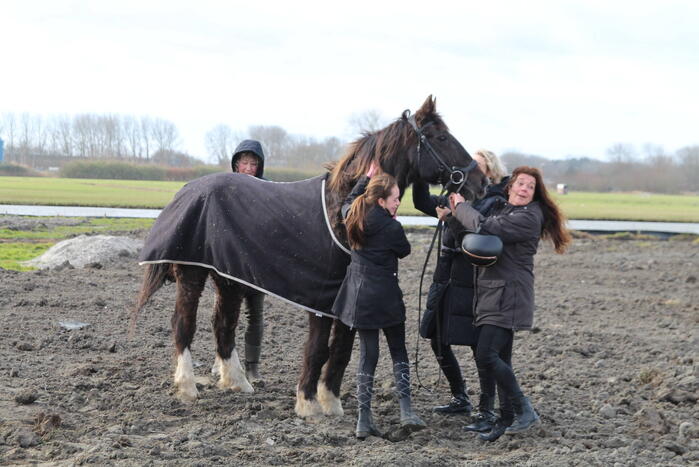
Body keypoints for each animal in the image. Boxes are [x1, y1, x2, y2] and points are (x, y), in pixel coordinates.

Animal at [131, 95, 487, 418]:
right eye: (441, 137)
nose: (480, 182)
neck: (343, 208)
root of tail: (186, 191)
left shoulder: (344, 299)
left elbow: (341, 350)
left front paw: (331, 402)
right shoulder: (320, 298)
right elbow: (317, 349)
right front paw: (308, 404)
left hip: (227, 276)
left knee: (223, 324)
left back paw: (238, 383)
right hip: (192, 274)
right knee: (183, 324)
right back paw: (187, 387)